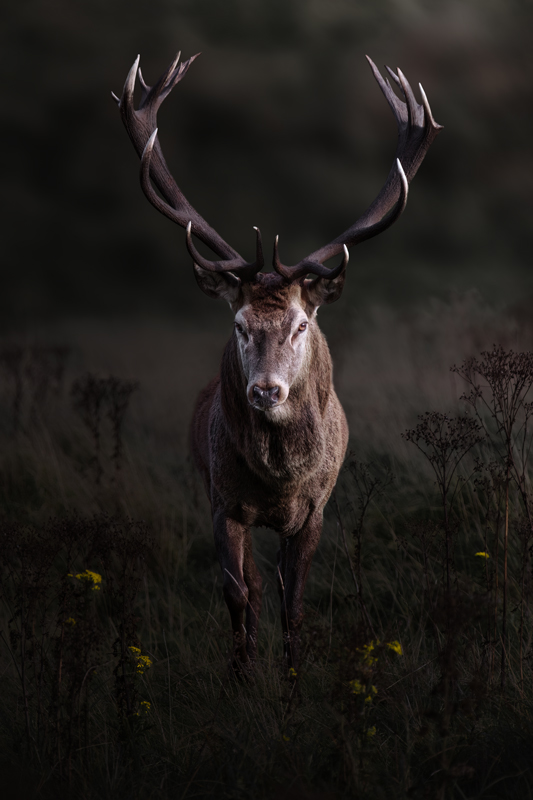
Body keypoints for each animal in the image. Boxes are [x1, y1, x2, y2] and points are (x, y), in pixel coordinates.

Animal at [113, 51, 442, 672]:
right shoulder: (222, 502)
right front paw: (241, 676)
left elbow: (295, 604)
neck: (278, 484)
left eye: (301, 325)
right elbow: (238, 595)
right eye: (239, 326)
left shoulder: (314, 510)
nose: (266, 391)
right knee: (252, 586)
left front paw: (292, 680)